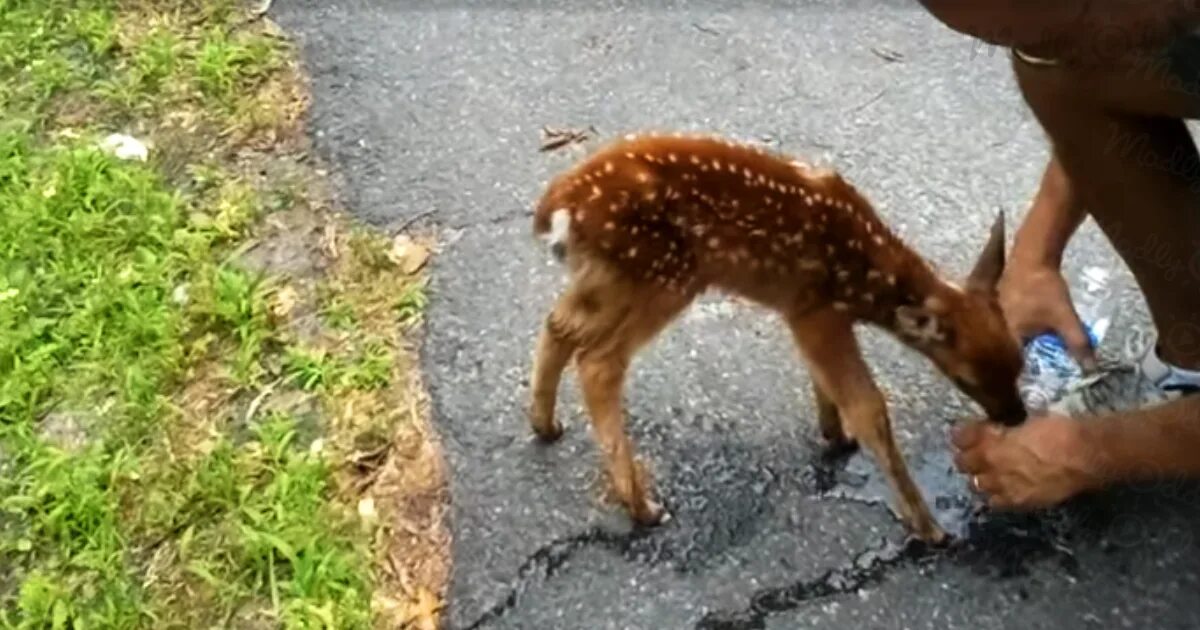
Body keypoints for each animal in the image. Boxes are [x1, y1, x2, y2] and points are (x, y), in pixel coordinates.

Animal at [523, 131, 1022, 540]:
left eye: (1019, 363)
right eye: (966, 378)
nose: (1016, 417)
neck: (866, 277)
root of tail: (560, 207)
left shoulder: (803, 311)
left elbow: (826, 382)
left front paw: (835, 434)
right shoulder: (815, 309)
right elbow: (868, 406)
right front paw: (927, 525)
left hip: (613, 277)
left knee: (559, 325)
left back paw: (545, 424)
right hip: (664, 276)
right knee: (599, 362)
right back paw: (643, 506)